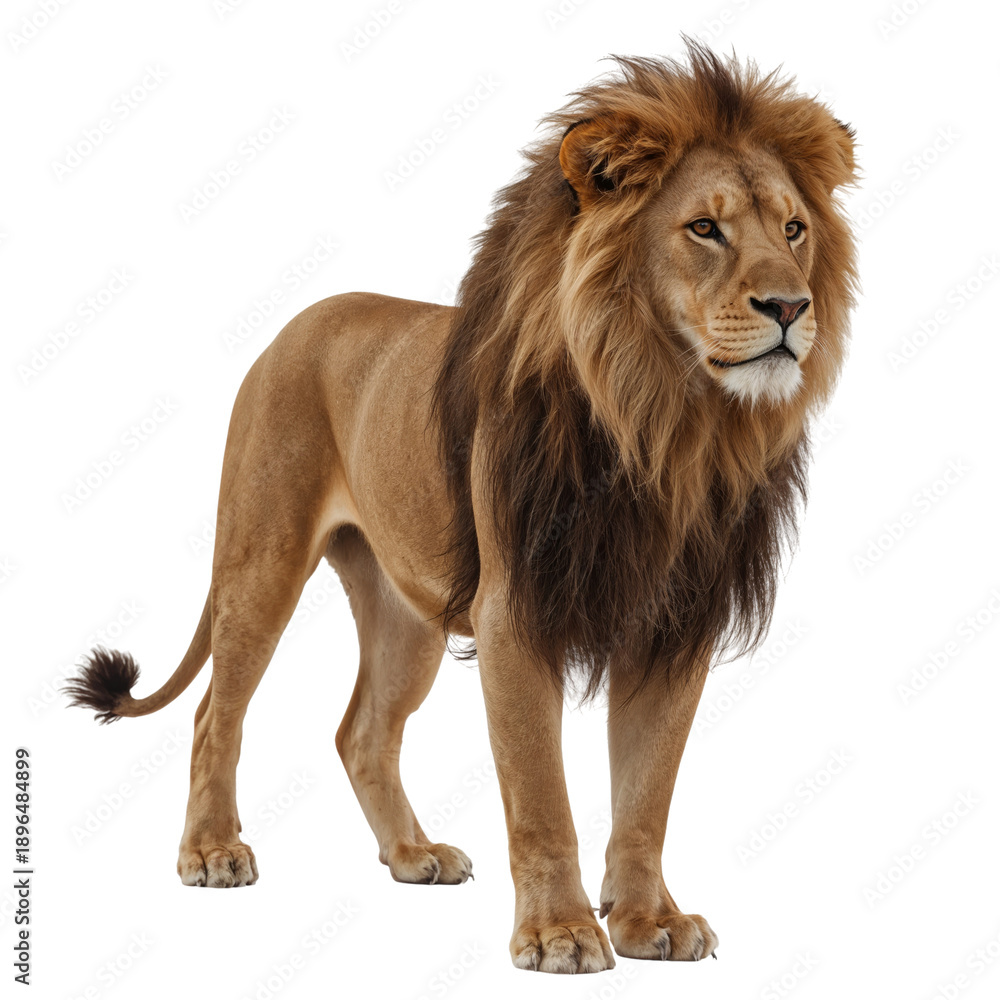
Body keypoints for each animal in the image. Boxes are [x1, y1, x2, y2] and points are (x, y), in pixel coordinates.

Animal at [65, 42, 857, 974]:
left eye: (794, 230)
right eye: (705, 229)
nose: (791, 306)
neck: (665, 419)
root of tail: (296, 322)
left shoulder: (672, 624)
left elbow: (647, 794)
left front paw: (647, 921)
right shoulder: (515, 614)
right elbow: (541, 795)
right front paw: (561, 934)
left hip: (409, 610)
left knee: (361, 731)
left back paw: (412, 855)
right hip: (262, 562)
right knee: (211, 714)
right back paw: (212, 851)